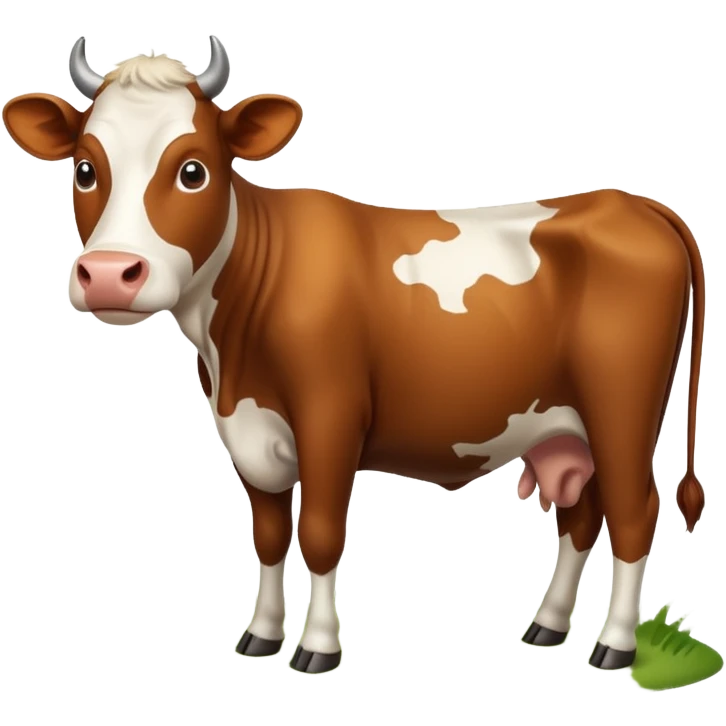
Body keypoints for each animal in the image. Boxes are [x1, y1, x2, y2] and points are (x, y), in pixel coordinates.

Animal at [2, 34, 706, 676]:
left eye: (193, 169)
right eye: (85, 168)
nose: (108, 274)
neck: (231, 347)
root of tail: (631, 203)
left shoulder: (330, 416)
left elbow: (317, 534)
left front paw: (316, 648)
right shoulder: (246, 429)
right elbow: (268, 536)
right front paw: (261, 637)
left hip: (623, 411)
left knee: (634, 512)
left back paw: (615, 646)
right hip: (567, 427)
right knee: (582, 516)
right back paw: (549, 625)